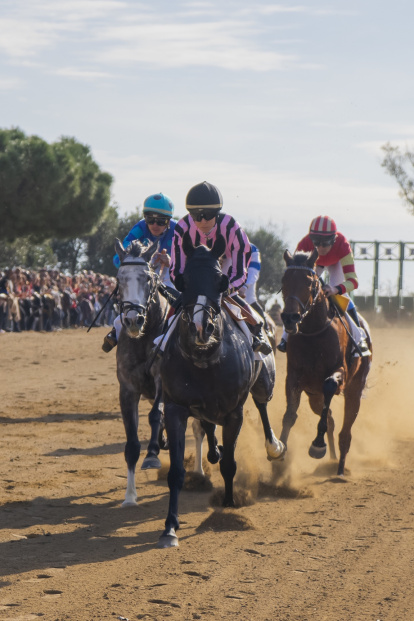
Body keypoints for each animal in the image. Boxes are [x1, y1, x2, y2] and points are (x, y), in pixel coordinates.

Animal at [278, 249, 372, 478]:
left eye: (310, 282)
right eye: (284, 280)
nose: (290, 317)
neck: (314, 332)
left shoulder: (340, 373)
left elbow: (330, 384)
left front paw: (317, 445)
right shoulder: (294, 377)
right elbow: (290, 414)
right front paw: (279, 456)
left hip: (355, 390)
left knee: (345, 431)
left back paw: (339, 469)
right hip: (314, 396)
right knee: (329, 418)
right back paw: (332, 460)